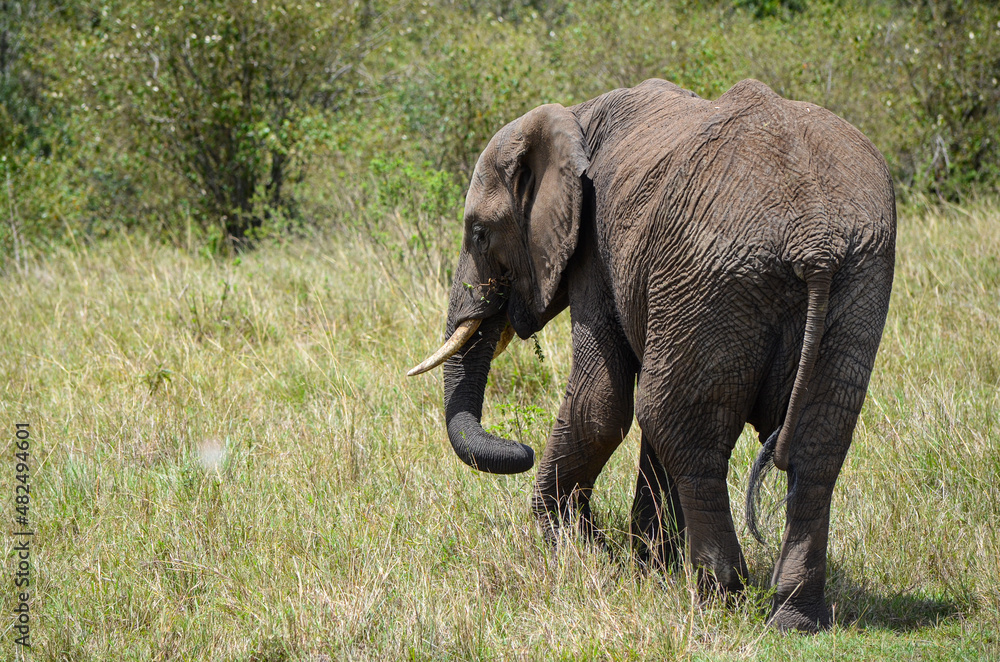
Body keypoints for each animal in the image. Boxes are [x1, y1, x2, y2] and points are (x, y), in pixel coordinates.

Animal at [408, 78, 895, 632]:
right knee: (817, 444)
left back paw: (717, 599)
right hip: (854, 281)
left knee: (676, 423)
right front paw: (642, 565)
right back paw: (794, 618)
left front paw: (575, 550)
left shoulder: (593, 247)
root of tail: (815, 240)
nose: (521, 447)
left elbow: (601, 403)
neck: (573, 117)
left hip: (714, 277)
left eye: (479, 232)